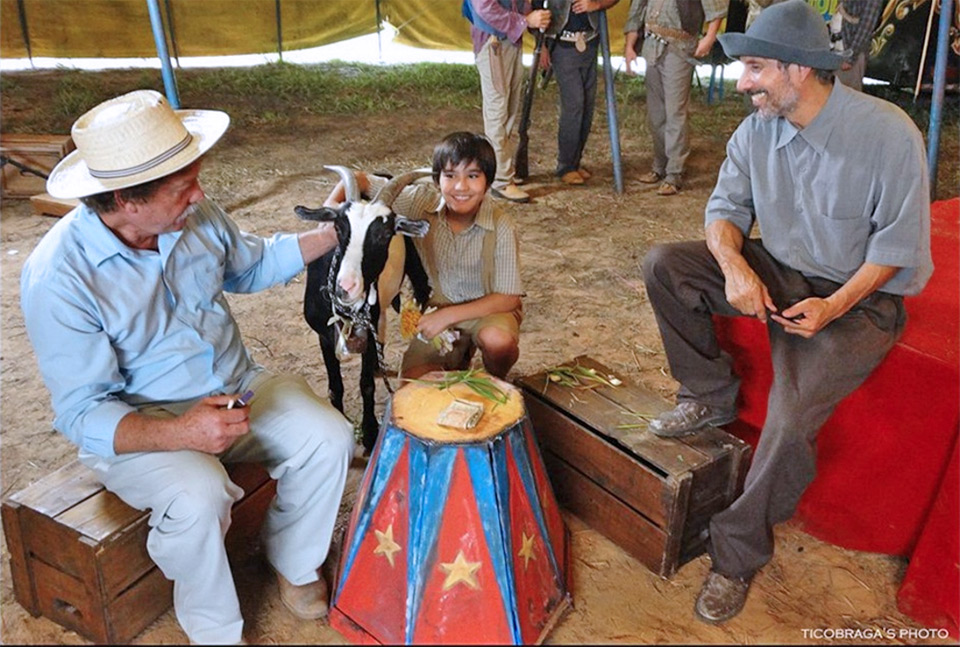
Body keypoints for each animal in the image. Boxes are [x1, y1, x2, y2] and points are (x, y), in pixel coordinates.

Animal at [290, 165, 430, 454]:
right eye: (338, 227)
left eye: (386, 234)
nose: (347, 286)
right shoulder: (323, 334)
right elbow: (335, 386)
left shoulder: (368, 328)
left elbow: (366, 385)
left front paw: (370, 432)